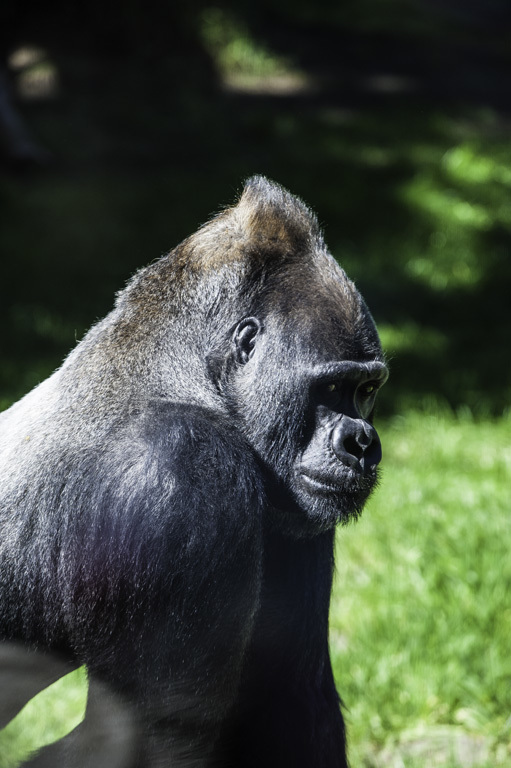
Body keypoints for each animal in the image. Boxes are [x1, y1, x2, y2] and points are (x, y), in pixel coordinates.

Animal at [0, 177, 388, 764]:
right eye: (332, 387)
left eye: (366, 390)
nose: (363, 443)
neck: (186, 375)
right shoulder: (183, 472)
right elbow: (156, 735)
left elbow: (292, 698)